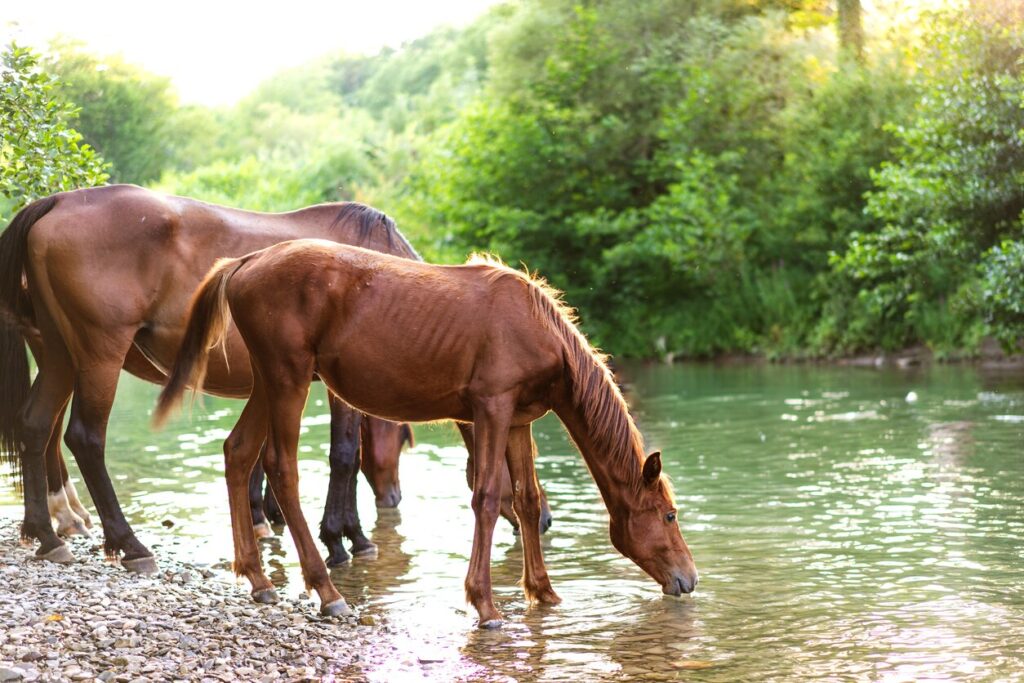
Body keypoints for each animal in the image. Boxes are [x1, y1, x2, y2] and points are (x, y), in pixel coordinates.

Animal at [155, 239, 698, 627]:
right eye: (669, 515)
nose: (689, 579)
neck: (539, 330)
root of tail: (245, 262)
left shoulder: (519, 419)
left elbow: (525, 500)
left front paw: (542, 592)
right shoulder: (491, 409)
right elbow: (488, 496)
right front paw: (485, 604)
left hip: (268, 383)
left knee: (238, 452)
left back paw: (258, 578)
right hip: (287, 379)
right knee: (281, 469)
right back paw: (327, 593)